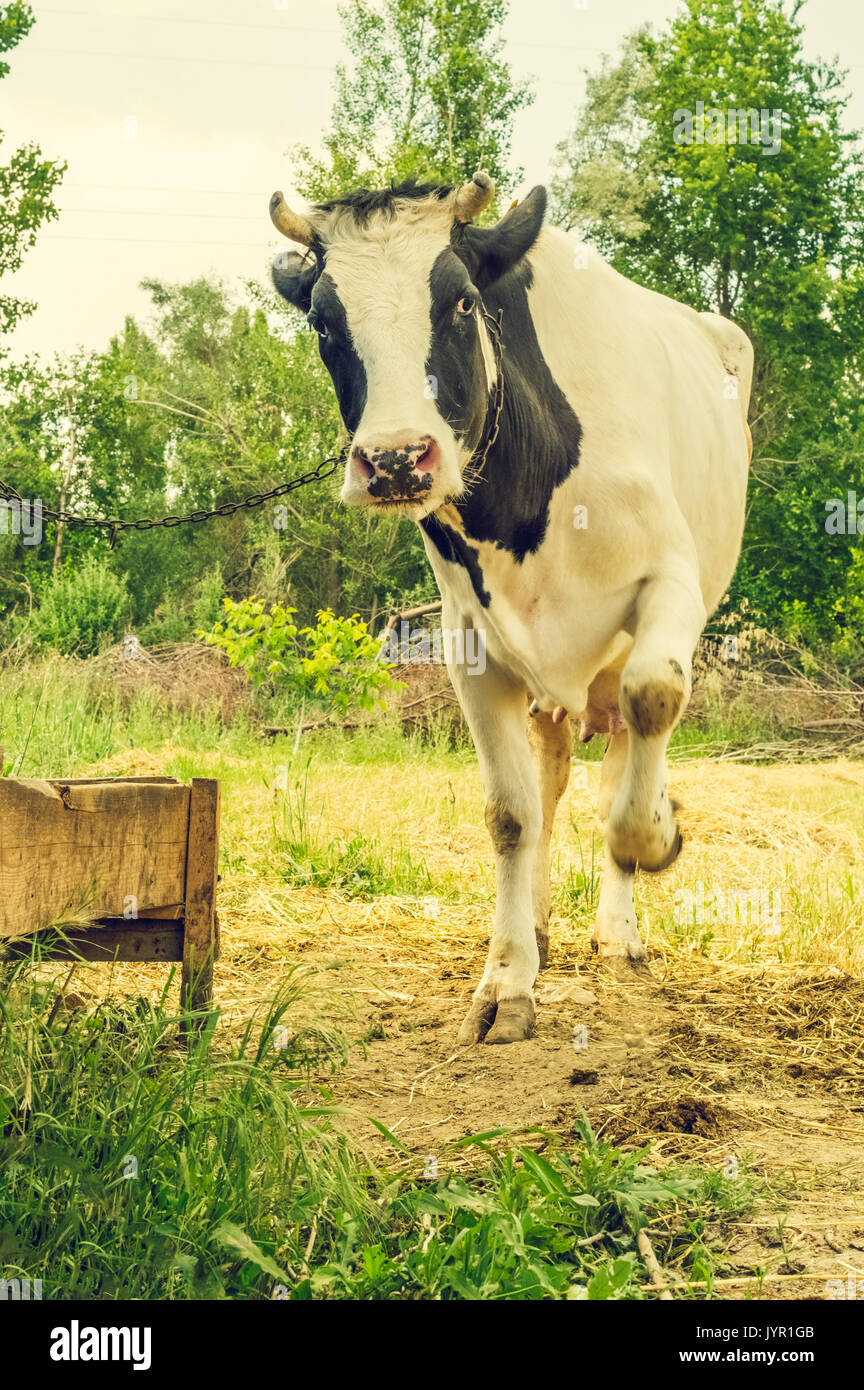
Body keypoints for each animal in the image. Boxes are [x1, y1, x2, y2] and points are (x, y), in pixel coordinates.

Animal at [269, 172, 753, 1044]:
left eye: (461, 301)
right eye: (325, 321)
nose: (396, 459)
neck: (526, 501)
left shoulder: (671, 585)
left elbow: (652, 704)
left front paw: (657, 836)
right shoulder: (471, 642)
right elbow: (511, 814)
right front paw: (507, 979)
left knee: (622, 748)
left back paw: (618, 930)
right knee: (554, 777)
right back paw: (540, 921)